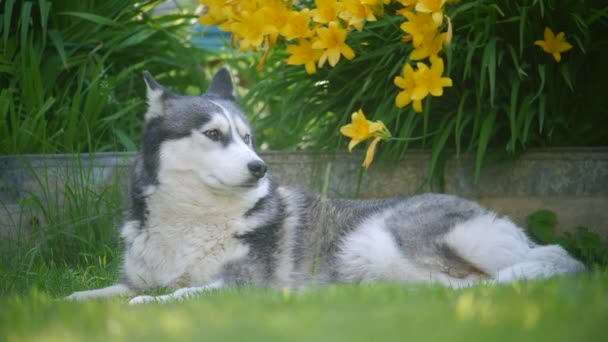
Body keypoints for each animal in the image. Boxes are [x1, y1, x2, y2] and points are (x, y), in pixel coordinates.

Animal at [66, 68, 584, 304]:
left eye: (247, 137)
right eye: (213, 134)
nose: (259, 167)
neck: (196, 219)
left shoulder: (242, 286)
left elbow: (173, 296)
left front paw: (146, 307)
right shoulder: (132, 277)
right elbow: (91, 295)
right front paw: (62, 307)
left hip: (387, 237)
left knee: (541, 263)